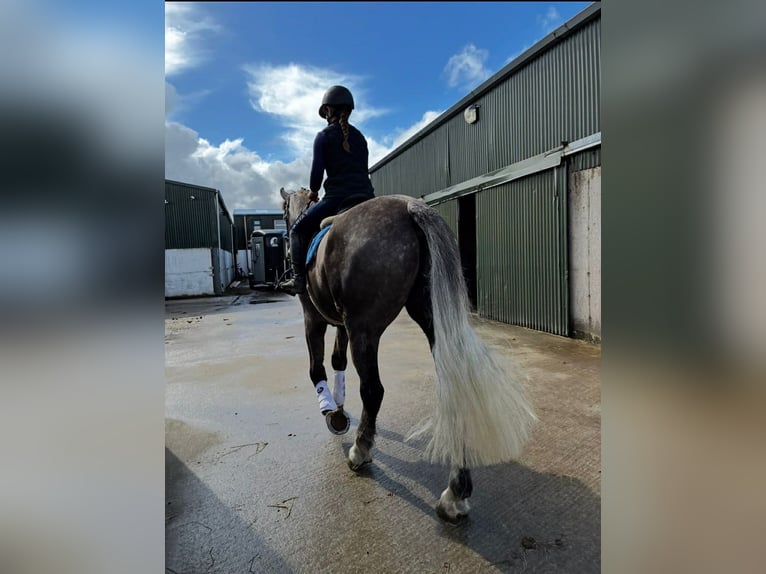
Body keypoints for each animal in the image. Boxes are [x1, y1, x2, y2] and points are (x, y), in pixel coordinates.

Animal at [279, 187, 537, 523]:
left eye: (283, 211)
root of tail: (409, 207)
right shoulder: (341, 325)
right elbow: (338, 361)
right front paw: (339, 407)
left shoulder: (315, 320)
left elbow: (316, 368)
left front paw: (332, 411)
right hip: (429, 317)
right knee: (456, 387)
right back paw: (455, 492)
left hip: (365, 329)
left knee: (373, 390)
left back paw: (360, 451)